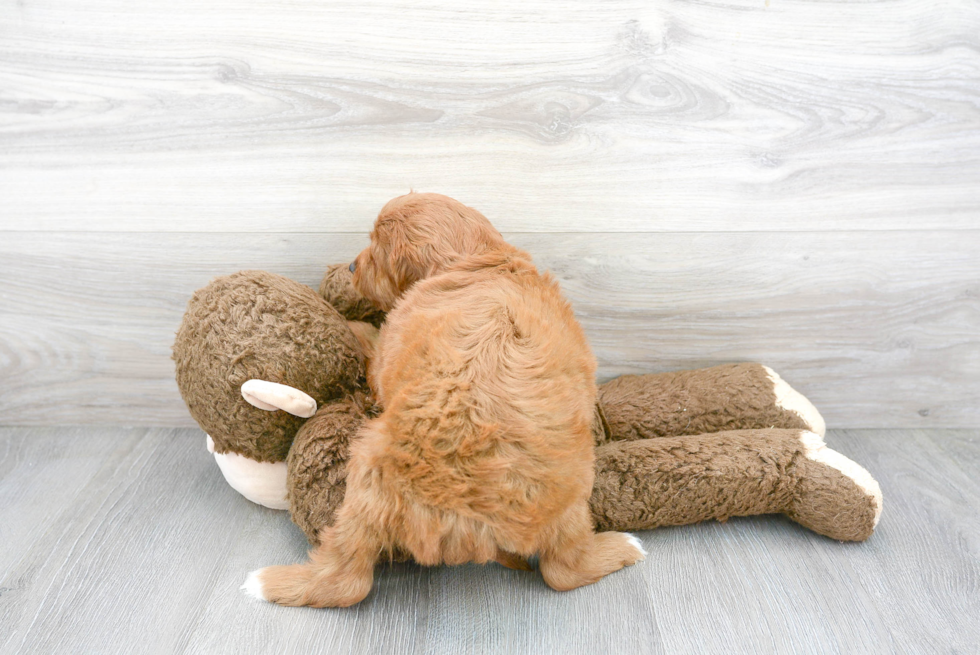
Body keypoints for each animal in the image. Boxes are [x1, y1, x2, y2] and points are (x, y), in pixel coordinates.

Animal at [244, 192, 644, 608]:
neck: (474, 259)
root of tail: (467, 513)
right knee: (564, 571)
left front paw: (355, 326)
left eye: (375, 250)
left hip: (363, 482)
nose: (352, 266)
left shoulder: (386, 351)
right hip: (573, 496)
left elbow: (371, 343)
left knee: (346, 581)